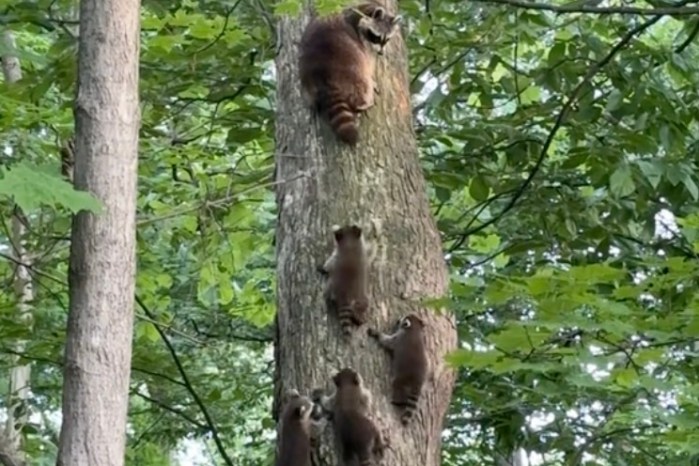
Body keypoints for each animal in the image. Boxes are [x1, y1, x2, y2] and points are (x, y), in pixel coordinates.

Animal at [299, 2, 402, 145]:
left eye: (386, 39)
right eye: (377, 37)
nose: (381, 53)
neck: (366, 9)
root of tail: (323, 75)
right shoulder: (362, 40)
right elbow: (369, 60)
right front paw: (372, 78)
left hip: (306, 79)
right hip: (352, 71)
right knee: (361, 84)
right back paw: (365, 100)